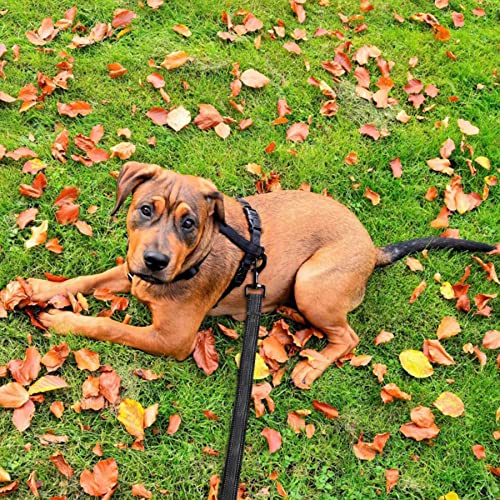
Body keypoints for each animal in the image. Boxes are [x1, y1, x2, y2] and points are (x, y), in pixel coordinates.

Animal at [29, 161, 495, 388]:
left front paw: (63, 319)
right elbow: (87, 280)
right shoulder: (131, 272)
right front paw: (40, 287)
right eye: (146, 209)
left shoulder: (172, 339)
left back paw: (312, 366)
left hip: (312, 283)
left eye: (189, 223)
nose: (156, 260)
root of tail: (370, 248)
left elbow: (109, 327)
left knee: (348, 337)